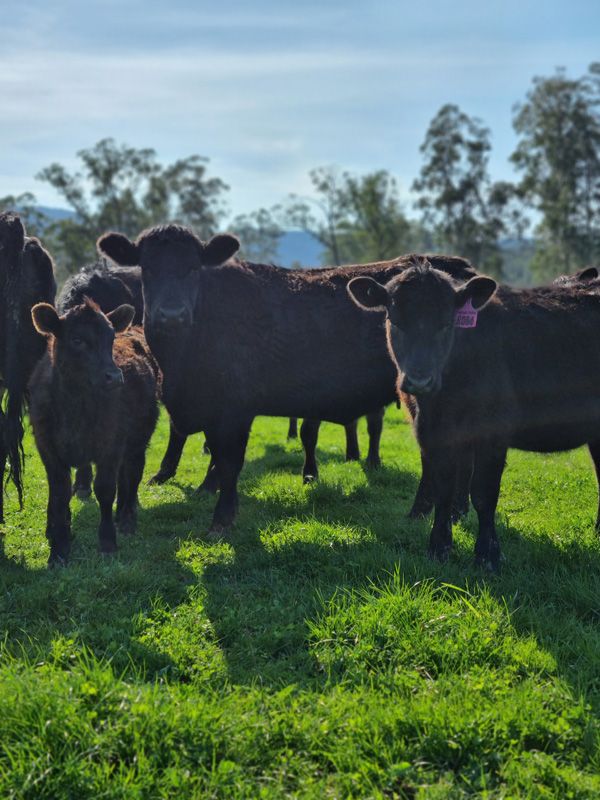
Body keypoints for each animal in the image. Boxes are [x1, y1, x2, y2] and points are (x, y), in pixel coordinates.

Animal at [29, 299, 158, 565]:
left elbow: (105, 490)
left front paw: (107, 542)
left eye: (111, 338)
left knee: (132, 474)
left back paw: (127, 518)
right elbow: (59, 494)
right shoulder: (48, 449)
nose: (115, 377)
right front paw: (59, 549)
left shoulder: (110, 445)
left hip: (138, 440)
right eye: (77, 340)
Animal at [97, 224, 477, 537]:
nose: (171, 315)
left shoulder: (234, 409)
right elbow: (216, 456)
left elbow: (229, 461)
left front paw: (222, 517)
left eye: (193, 268)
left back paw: (434, 510)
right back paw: (449, 510)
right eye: (147, 269)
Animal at [347, 260, 600, 571]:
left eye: (447, 323)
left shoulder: (492, 433)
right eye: (394, 321)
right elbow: (442, 489)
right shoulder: (434, 434)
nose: (420, 381)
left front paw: (487, 555)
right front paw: (438, 548)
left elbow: (483, 493)